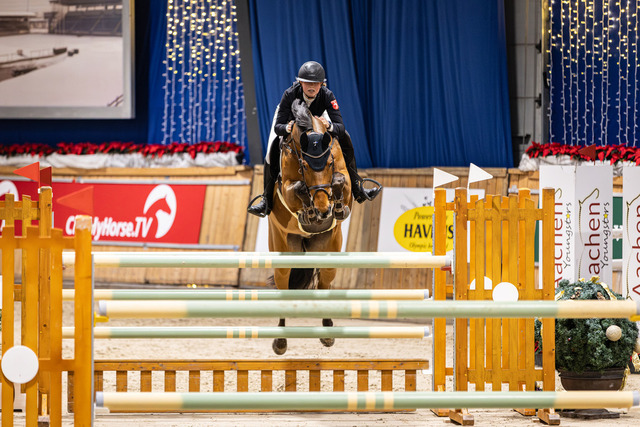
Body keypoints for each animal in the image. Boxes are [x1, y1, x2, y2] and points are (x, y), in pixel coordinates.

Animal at [268, 99, 353, 355]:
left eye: (330, 162)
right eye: (304, 166)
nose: (323, 210)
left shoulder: (344, 179)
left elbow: (340, 181)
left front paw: (336, 209)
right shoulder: (286, 187)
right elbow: (297, 187)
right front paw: (309, 210)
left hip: (328, 251)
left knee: (324, 284)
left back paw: (327, 332)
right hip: (284, 252)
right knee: (283, 289)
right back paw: (280, 341)